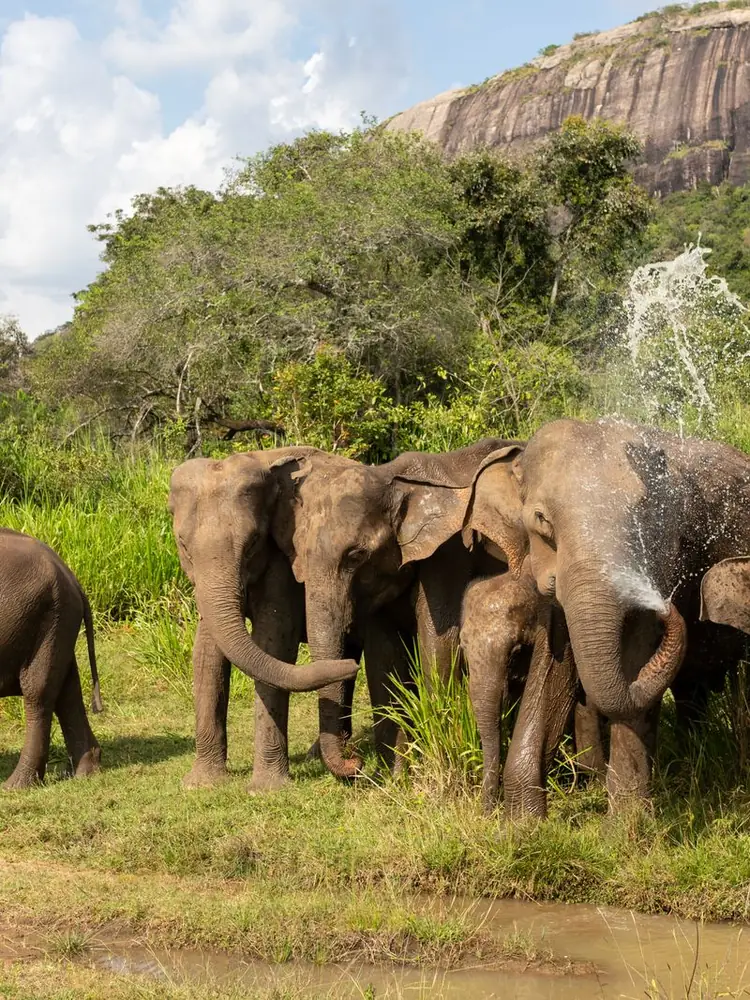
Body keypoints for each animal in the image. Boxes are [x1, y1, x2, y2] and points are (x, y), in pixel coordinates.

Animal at [0, 529, 102, 790]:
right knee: (67, 692)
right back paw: (87, 772)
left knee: (38, 693)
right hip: (58, 621)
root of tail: (72, 577)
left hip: (47, 618)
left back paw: (16, 786)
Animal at [168, 448, 360, 791]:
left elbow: (273, 644)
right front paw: (200, 784)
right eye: (183, 545)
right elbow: (206, 653)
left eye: (254, 542)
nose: (348, 667)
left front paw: (266, 790)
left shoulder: (284, 559)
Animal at [507, 416, 750, 815]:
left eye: (643, 520)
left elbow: (636, 653)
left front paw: (625, 824)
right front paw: (521, 821)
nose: (669, 605)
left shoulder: (664, 556)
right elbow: (552, 665)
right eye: (542, 520)